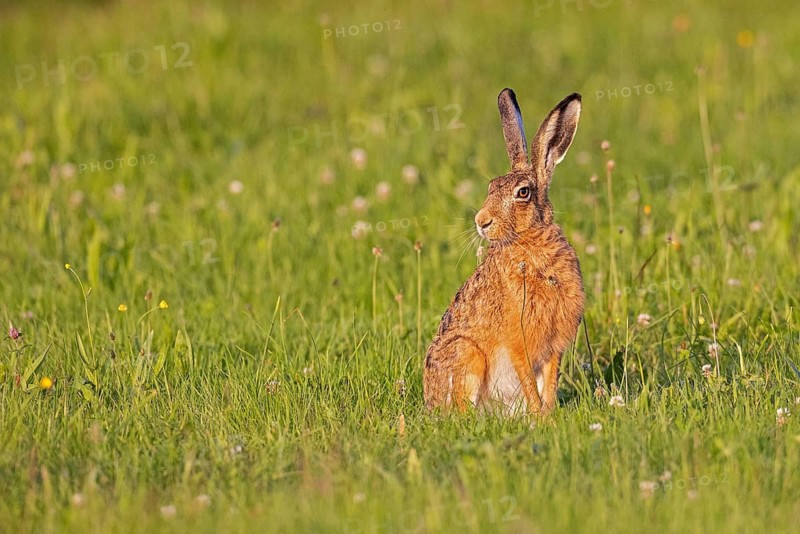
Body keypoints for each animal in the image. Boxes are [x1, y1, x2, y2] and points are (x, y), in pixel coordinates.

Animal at [423, 88, 585, 416]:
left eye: (523, 192)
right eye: (491, 187)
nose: (481, 221)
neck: (529, 242)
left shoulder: (553, 345)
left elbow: (548, 383)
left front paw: (547, 416)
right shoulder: (517, 341)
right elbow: (528, 380)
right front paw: (540, 417)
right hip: (467, 354)